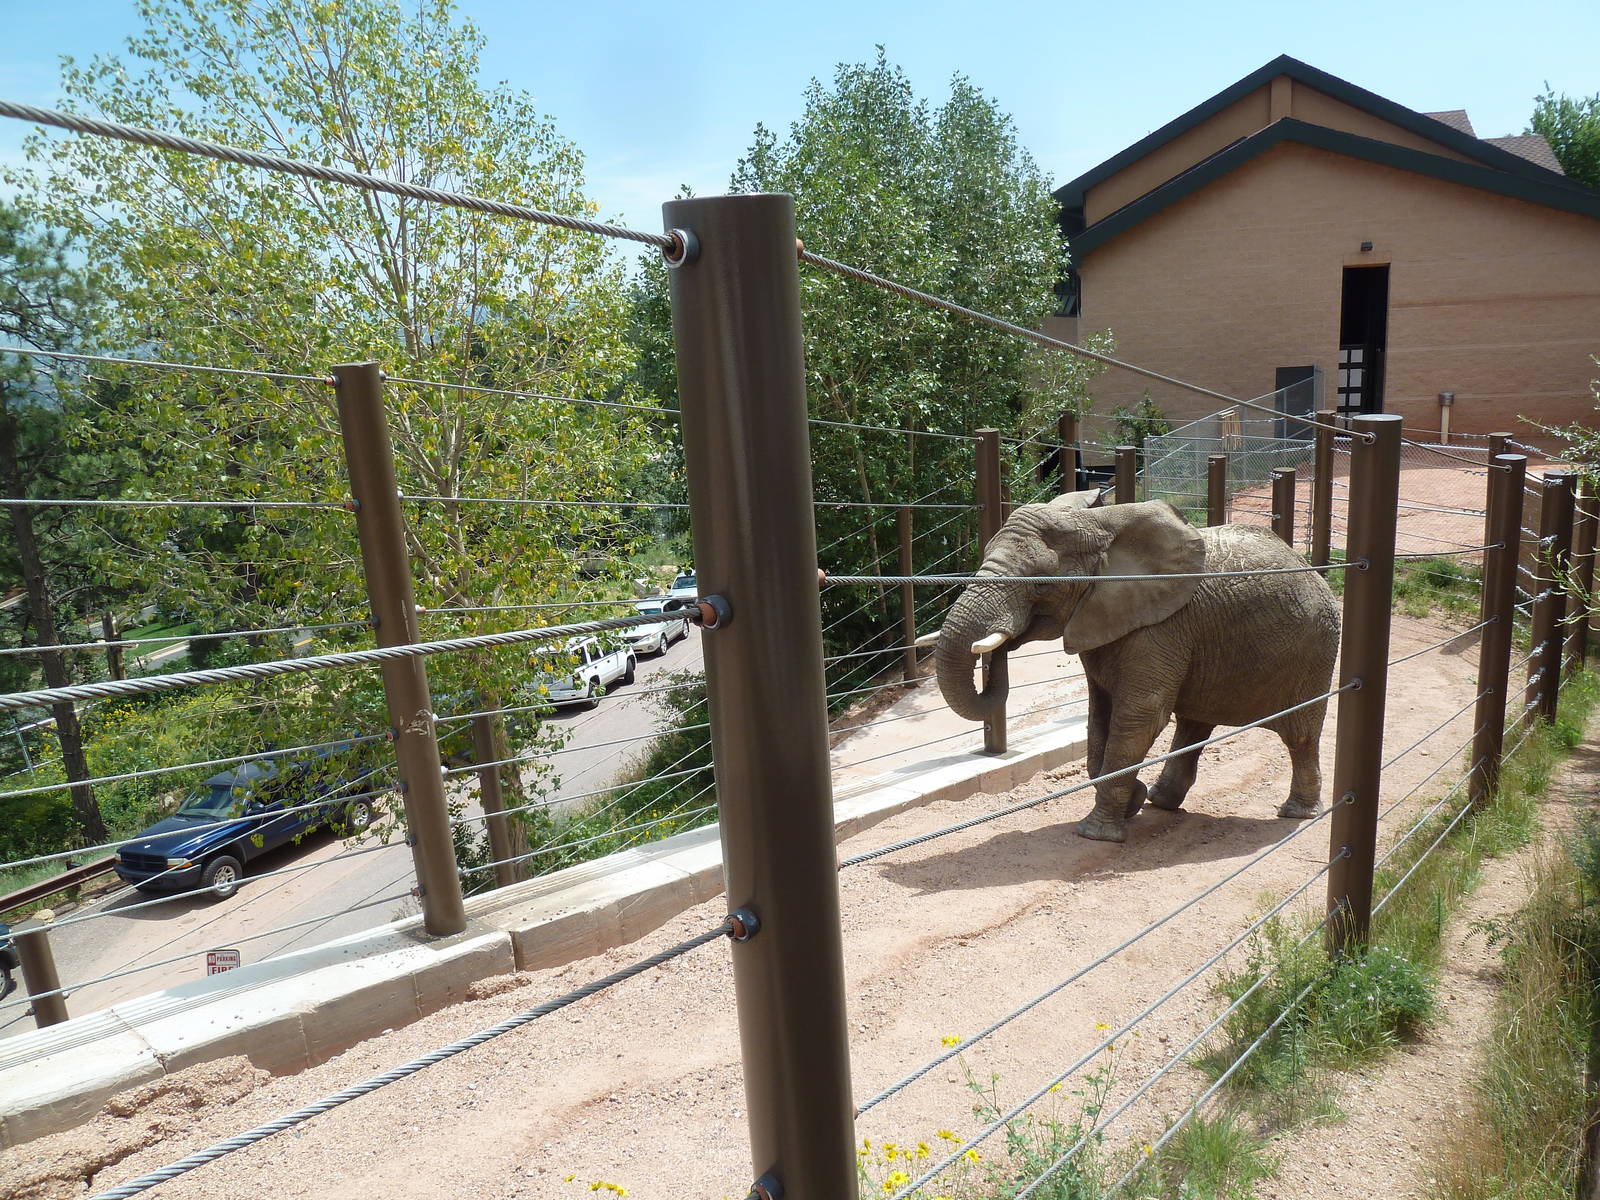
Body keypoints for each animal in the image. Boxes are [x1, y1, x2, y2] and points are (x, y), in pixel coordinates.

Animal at [932, 492, 1341, 842]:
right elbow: (1100, 715)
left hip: (1315, 649)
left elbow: (1138, 717)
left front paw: (1097, 834)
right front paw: (1132, 800)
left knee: (1301, 735)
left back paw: (1297, 813)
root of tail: (1310, 567)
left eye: (1041, 582)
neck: (1096, 524)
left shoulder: (1162, 627)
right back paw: (1159, 801)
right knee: (1193, 724)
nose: (999, 646)